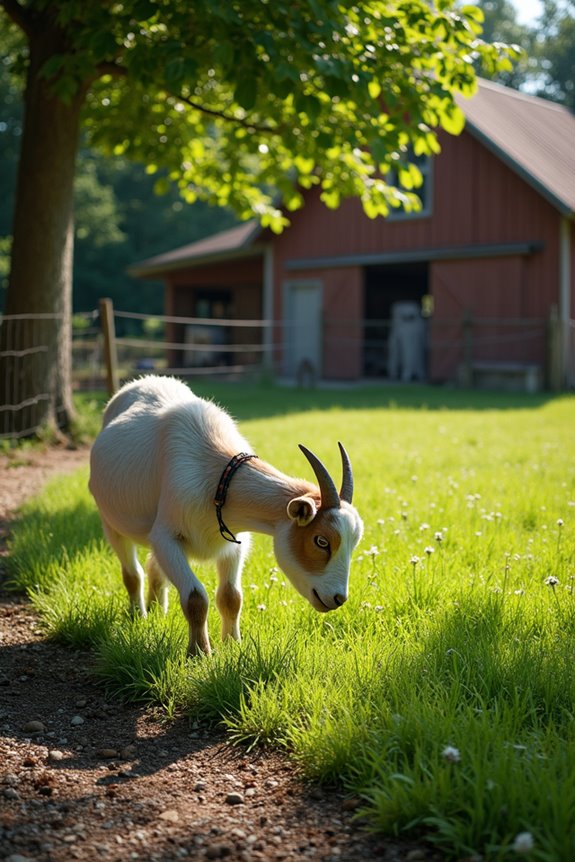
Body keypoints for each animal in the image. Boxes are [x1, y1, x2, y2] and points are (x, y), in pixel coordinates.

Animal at [89, 375, 364, 655]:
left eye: (353, 543)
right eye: (321, 541)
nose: (338, 598)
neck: (216, 476)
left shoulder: (234, 543)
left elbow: (231, 597)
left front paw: (232, 644)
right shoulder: (166, 538)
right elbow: (195, 598)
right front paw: (199, 652)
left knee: (154, 567)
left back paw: (157, 611)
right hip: (110, 522)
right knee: (132, 573)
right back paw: (140, 615)